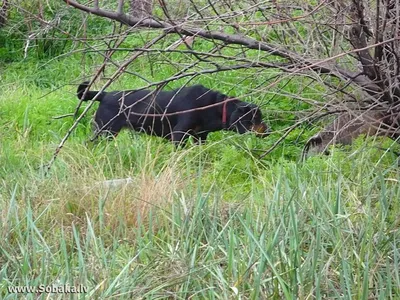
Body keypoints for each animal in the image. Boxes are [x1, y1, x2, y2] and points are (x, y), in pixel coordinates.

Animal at [76, 82, 268, 145]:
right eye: (255, 118)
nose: (267, 132)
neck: (213, 107)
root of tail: (104, 94)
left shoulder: (200, 136)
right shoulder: (179, 134)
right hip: (105, 131)